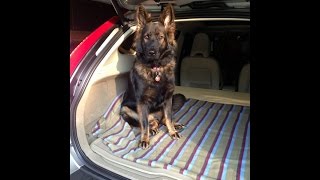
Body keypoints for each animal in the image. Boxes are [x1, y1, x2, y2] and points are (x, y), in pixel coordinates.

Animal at [119, 4, 186, 150]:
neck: (155, 69)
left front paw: (172, 131)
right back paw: (153, 128)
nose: (151, 52)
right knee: (149, 122)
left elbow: (168, 117)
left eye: (160, 37)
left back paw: (173, 125)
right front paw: (144, 139)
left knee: (163, 119)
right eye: (146, 37)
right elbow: (144, 124)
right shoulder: (142, 103)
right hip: (125, 109)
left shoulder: (168, 98)